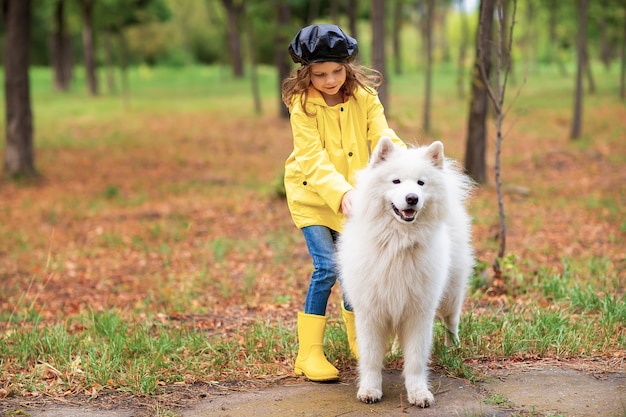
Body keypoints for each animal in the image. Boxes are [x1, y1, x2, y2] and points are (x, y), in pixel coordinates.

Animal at [336, 136, 472, 406]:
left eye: (421, 183)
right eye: (396, 181)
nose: (412, 198)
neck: (397, 244)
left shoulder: (419, 311)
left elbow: (416, 359)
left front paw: (418, 392)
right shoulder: (371, 311)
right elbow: (370, 358)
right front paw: (370, 389)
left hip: (451, 294)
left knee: (451, 321)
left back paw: (453, 348)